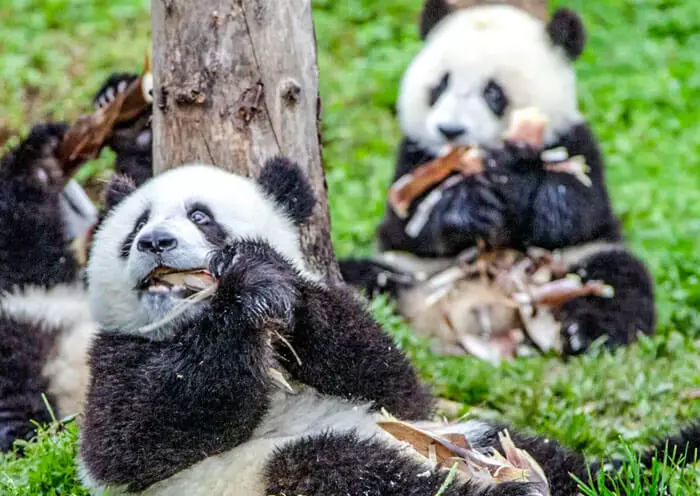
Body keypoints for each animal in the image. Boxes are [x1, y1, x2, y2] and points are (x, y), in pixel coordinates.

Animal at [77, 160, 698, 495]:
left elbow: (390, 378)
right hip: (268, 475)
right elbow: (134, 438)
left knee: (561, 461)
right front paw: (245, 295)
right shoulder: (116, 355)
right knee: (350, 472)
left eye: (201, 216)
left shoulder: (380, 380)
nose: (156, 242)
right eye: (135, 227)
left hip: (470, 433)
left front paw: (266, 277)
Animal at [339, 2, 656, 356]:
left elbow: (576, 210)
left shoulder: (577, 143)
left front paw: (516, 183)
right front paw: (466, 208)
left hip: (571, 266)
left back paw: (585, 333)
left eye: (493, 92)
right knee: (359, 276)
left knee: (617, 281)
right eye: (440, 86)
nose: (450, 130)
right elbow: (407, 226)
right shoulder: (413, 156)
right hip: (408, 270)